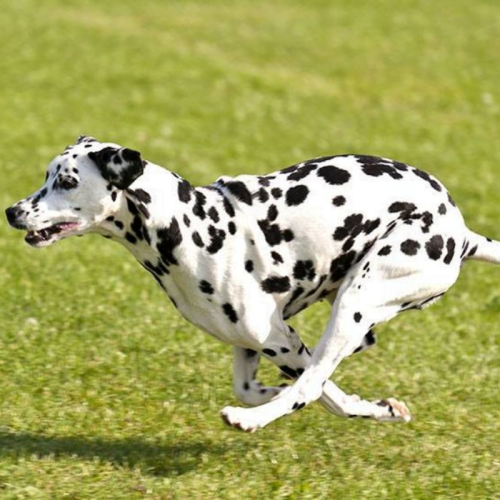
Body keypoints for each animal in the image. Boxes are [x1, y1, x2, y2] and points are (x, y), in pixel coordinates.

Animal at [4, 136, 500, 430]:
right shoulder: (254, 342)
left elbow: (321, 392)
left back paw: (251, 420)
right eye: (47, 175)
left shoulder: (280, 338)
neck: (187, 225)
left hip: (354, 303)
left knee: (312, 384)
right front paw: (373, 406)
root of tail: (461, 233)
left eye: (68, 181)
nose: (13, 211)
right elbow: (253, 385)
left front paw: (364, 407)